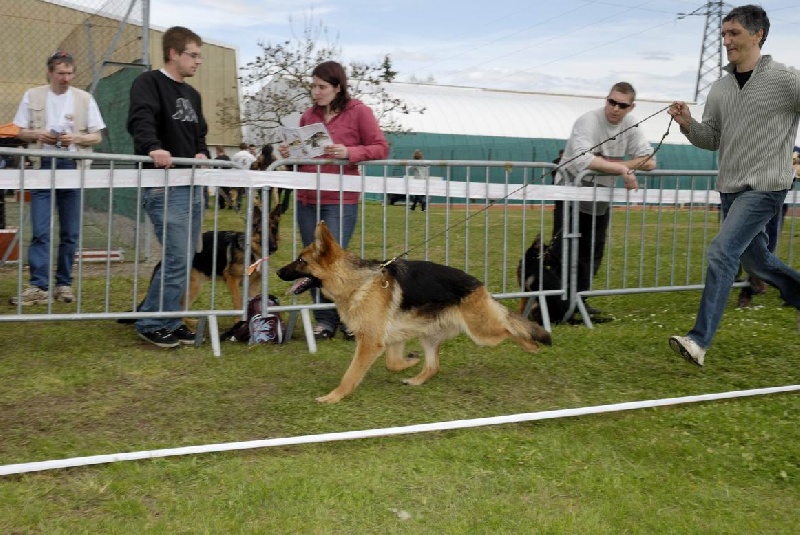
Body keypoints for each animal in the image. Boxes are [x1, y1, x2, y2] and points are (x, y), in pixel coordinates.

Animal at [276, 221, 552, 402]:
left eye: (301, 260)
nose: (277, 271)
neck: (357, 281)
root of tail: (480, 286)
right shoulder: (391, 338)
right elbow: (392, 363)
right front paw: (410, 361)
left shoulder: (370, 342)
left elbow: (351, 374)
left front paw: (333, 397)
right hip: (428, 335)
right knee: (434, 366)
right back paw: (416, 378)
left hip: (482, 332)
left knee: (509, 327)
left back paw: (531, 345)